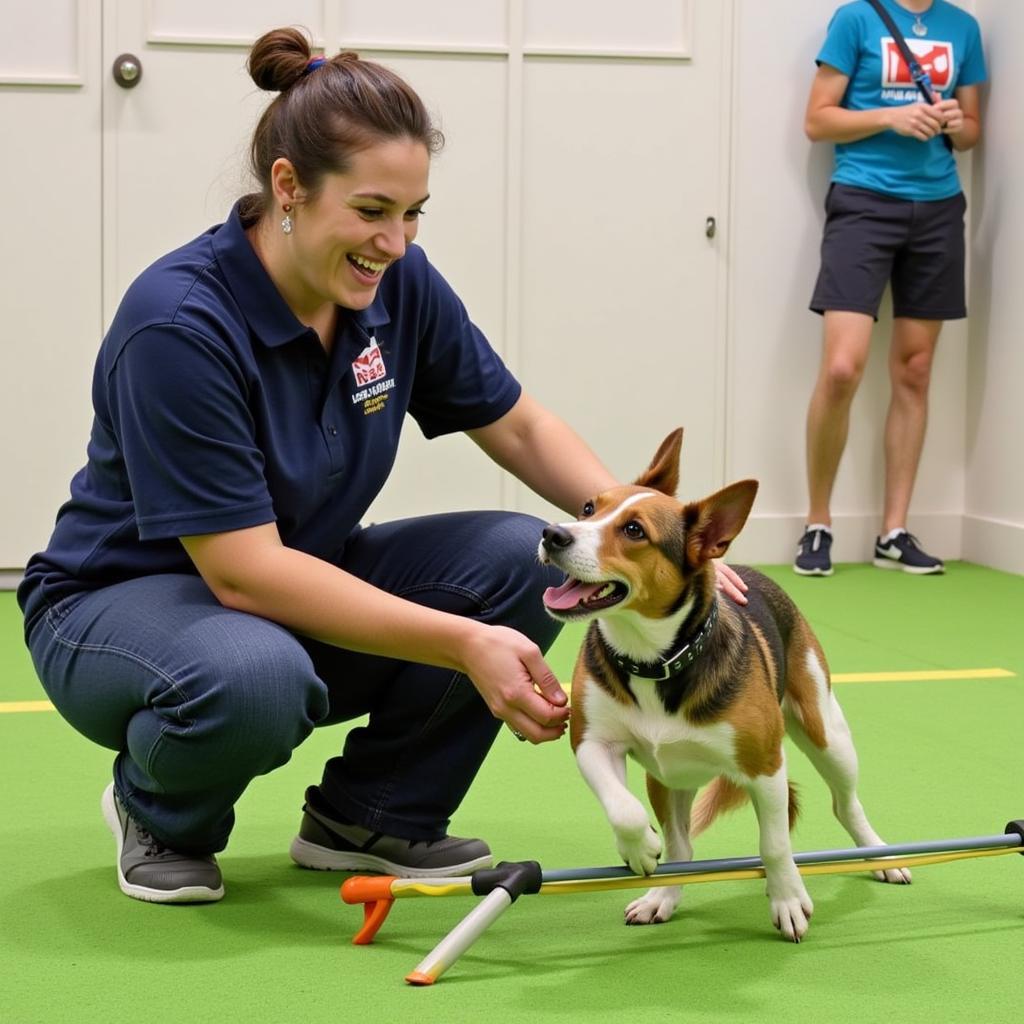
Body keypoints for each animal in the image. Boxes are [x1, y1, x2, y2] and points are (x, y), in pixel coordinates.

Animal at [540, 428, 909, 937]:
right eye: (588, 507)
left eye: (634, 531)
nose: (552, 533)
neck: (657, 659)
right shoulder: (593, 742)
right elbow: (625, 810)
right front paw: (641, 849)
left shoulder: (765, 765)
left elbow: (775, 844)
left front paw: (788, 899)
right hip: (667, 779)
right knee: (682, 846)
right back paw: (663, 896)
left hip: (827, 733)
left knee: (845, 805)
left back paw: (880, 856)